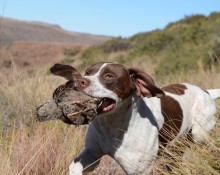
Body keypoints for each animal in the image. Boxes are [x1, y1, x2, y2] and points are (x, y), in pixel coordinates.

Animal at [50, 62, 219, 174]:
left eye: (109, 76)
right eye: (87, 72)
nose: (80, 81)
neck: (112, 123)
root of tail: (207, 92)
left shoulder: (139, 170)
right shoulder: (92, 153)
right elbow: (75, 166)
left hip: (198, 135)